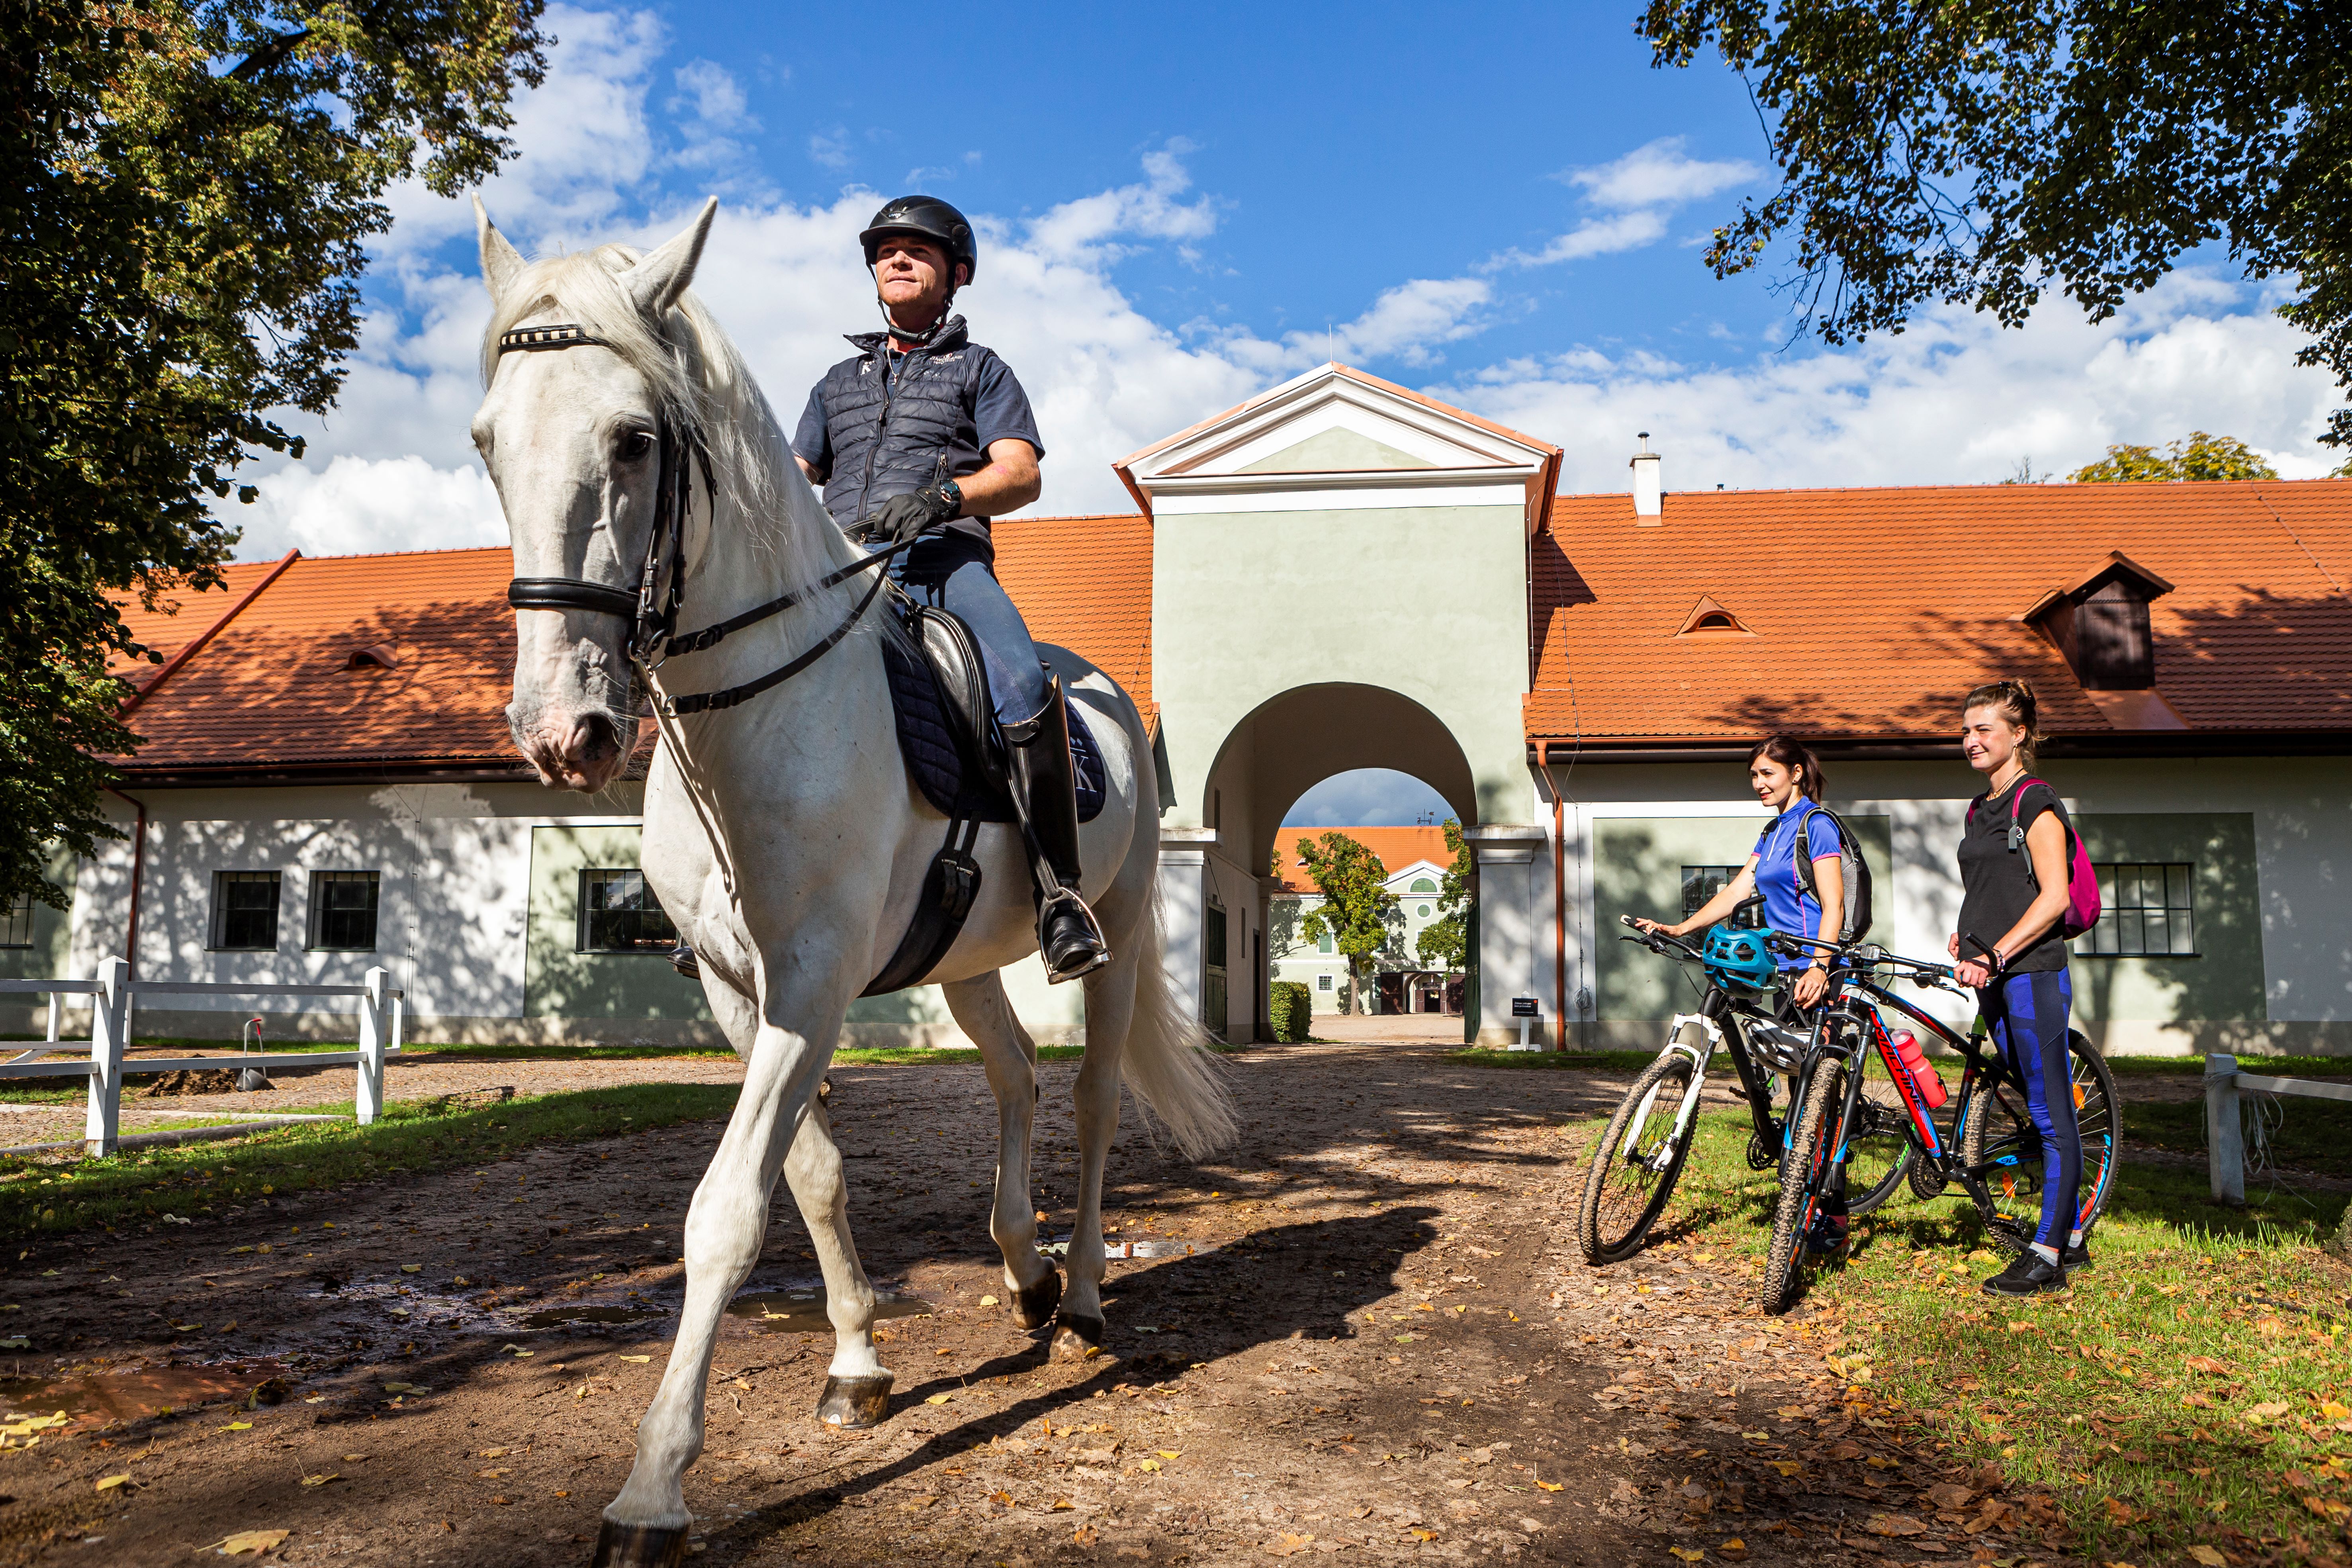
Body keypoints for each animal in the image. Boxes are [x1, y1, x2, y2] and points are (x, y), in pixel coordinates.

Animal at [469, 196, 1236, 1568]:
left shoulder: (813, 981)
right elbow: (812, 1176)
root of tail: (1093, 686)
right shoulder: (743, 991)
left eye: (631, 440)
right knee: (1015, 1076)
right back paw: (1024, 1269)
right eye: (489, 443)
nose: (563, 731)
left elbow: (726, 1210)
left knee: (1093, 1098)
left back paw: (1084, 1294)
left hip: (1119, 929)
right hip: (970, 959)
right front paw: (858, 1366)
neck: (757, 713)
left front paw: (651, 1490)